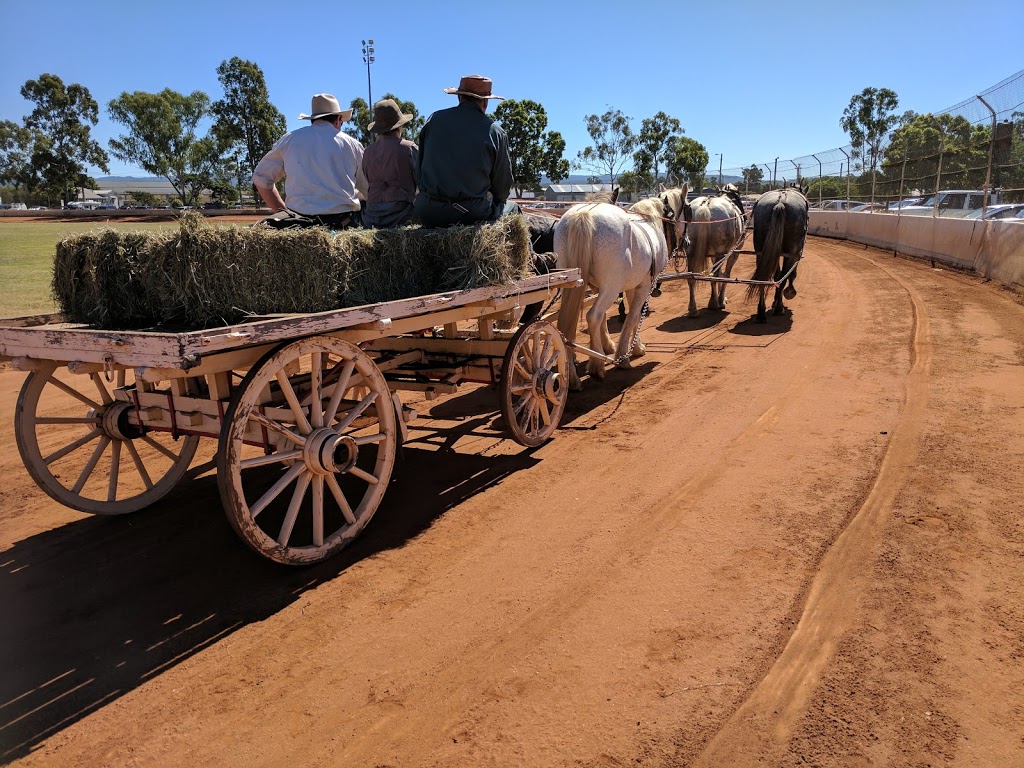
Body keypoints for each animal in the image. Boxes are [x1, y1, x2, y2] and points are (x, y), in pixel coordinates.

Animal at [552, 186, 688, 391]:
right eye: (688, 208)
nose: (687, 241)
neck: (652, 221)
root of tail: (583, 215)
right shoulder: (645, 286)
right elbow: (634, 316)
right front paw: (624, 356)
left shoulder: (620, 287)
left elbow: (627, 317)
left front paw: (630, 347)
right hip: (611, 288)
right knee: (593, 316)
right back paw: (597, 366)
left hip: (573, 285)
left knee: (568, 326)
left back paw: (573, 377)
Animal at [688, 187, 745, 319]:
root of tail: (705, 206)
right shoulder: (733, 253)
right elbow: (726, 274)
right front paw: (721, 300)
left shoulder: (714, 255)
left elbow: (720, 273)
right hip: (721, 251)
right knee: (714, 275)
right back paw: (714, 303)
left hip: (691, 251)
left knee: (691, 277)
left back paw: (693, 309)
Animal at [745, 188, 806, 323]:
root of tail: (780, 202)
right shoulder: (795, 254)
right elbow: (791, 274)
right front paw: (789, 293)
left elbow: (777, 274)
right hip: (791, 251)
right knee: (784, 276)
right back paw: (778, 308)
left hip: (761, 250)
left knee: (763, 277)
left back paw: (761, 313)